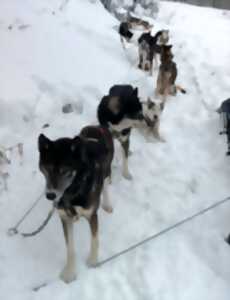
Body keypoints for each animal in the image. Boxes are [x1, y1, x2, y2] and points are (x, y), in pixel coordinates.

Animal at [38, 125, 114, 284]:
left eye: (65, 170)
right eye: (47, 168)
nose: (50, 195)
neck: (72, 191)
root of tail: (96, 126)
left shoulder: (92, 215)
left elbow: (95, 240)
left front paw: (93, 262)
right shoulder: (64, 217)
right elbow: (70, 249)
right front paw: (69, 273)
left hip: (107, 171)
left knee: (105, 184)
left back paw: (107, 203)